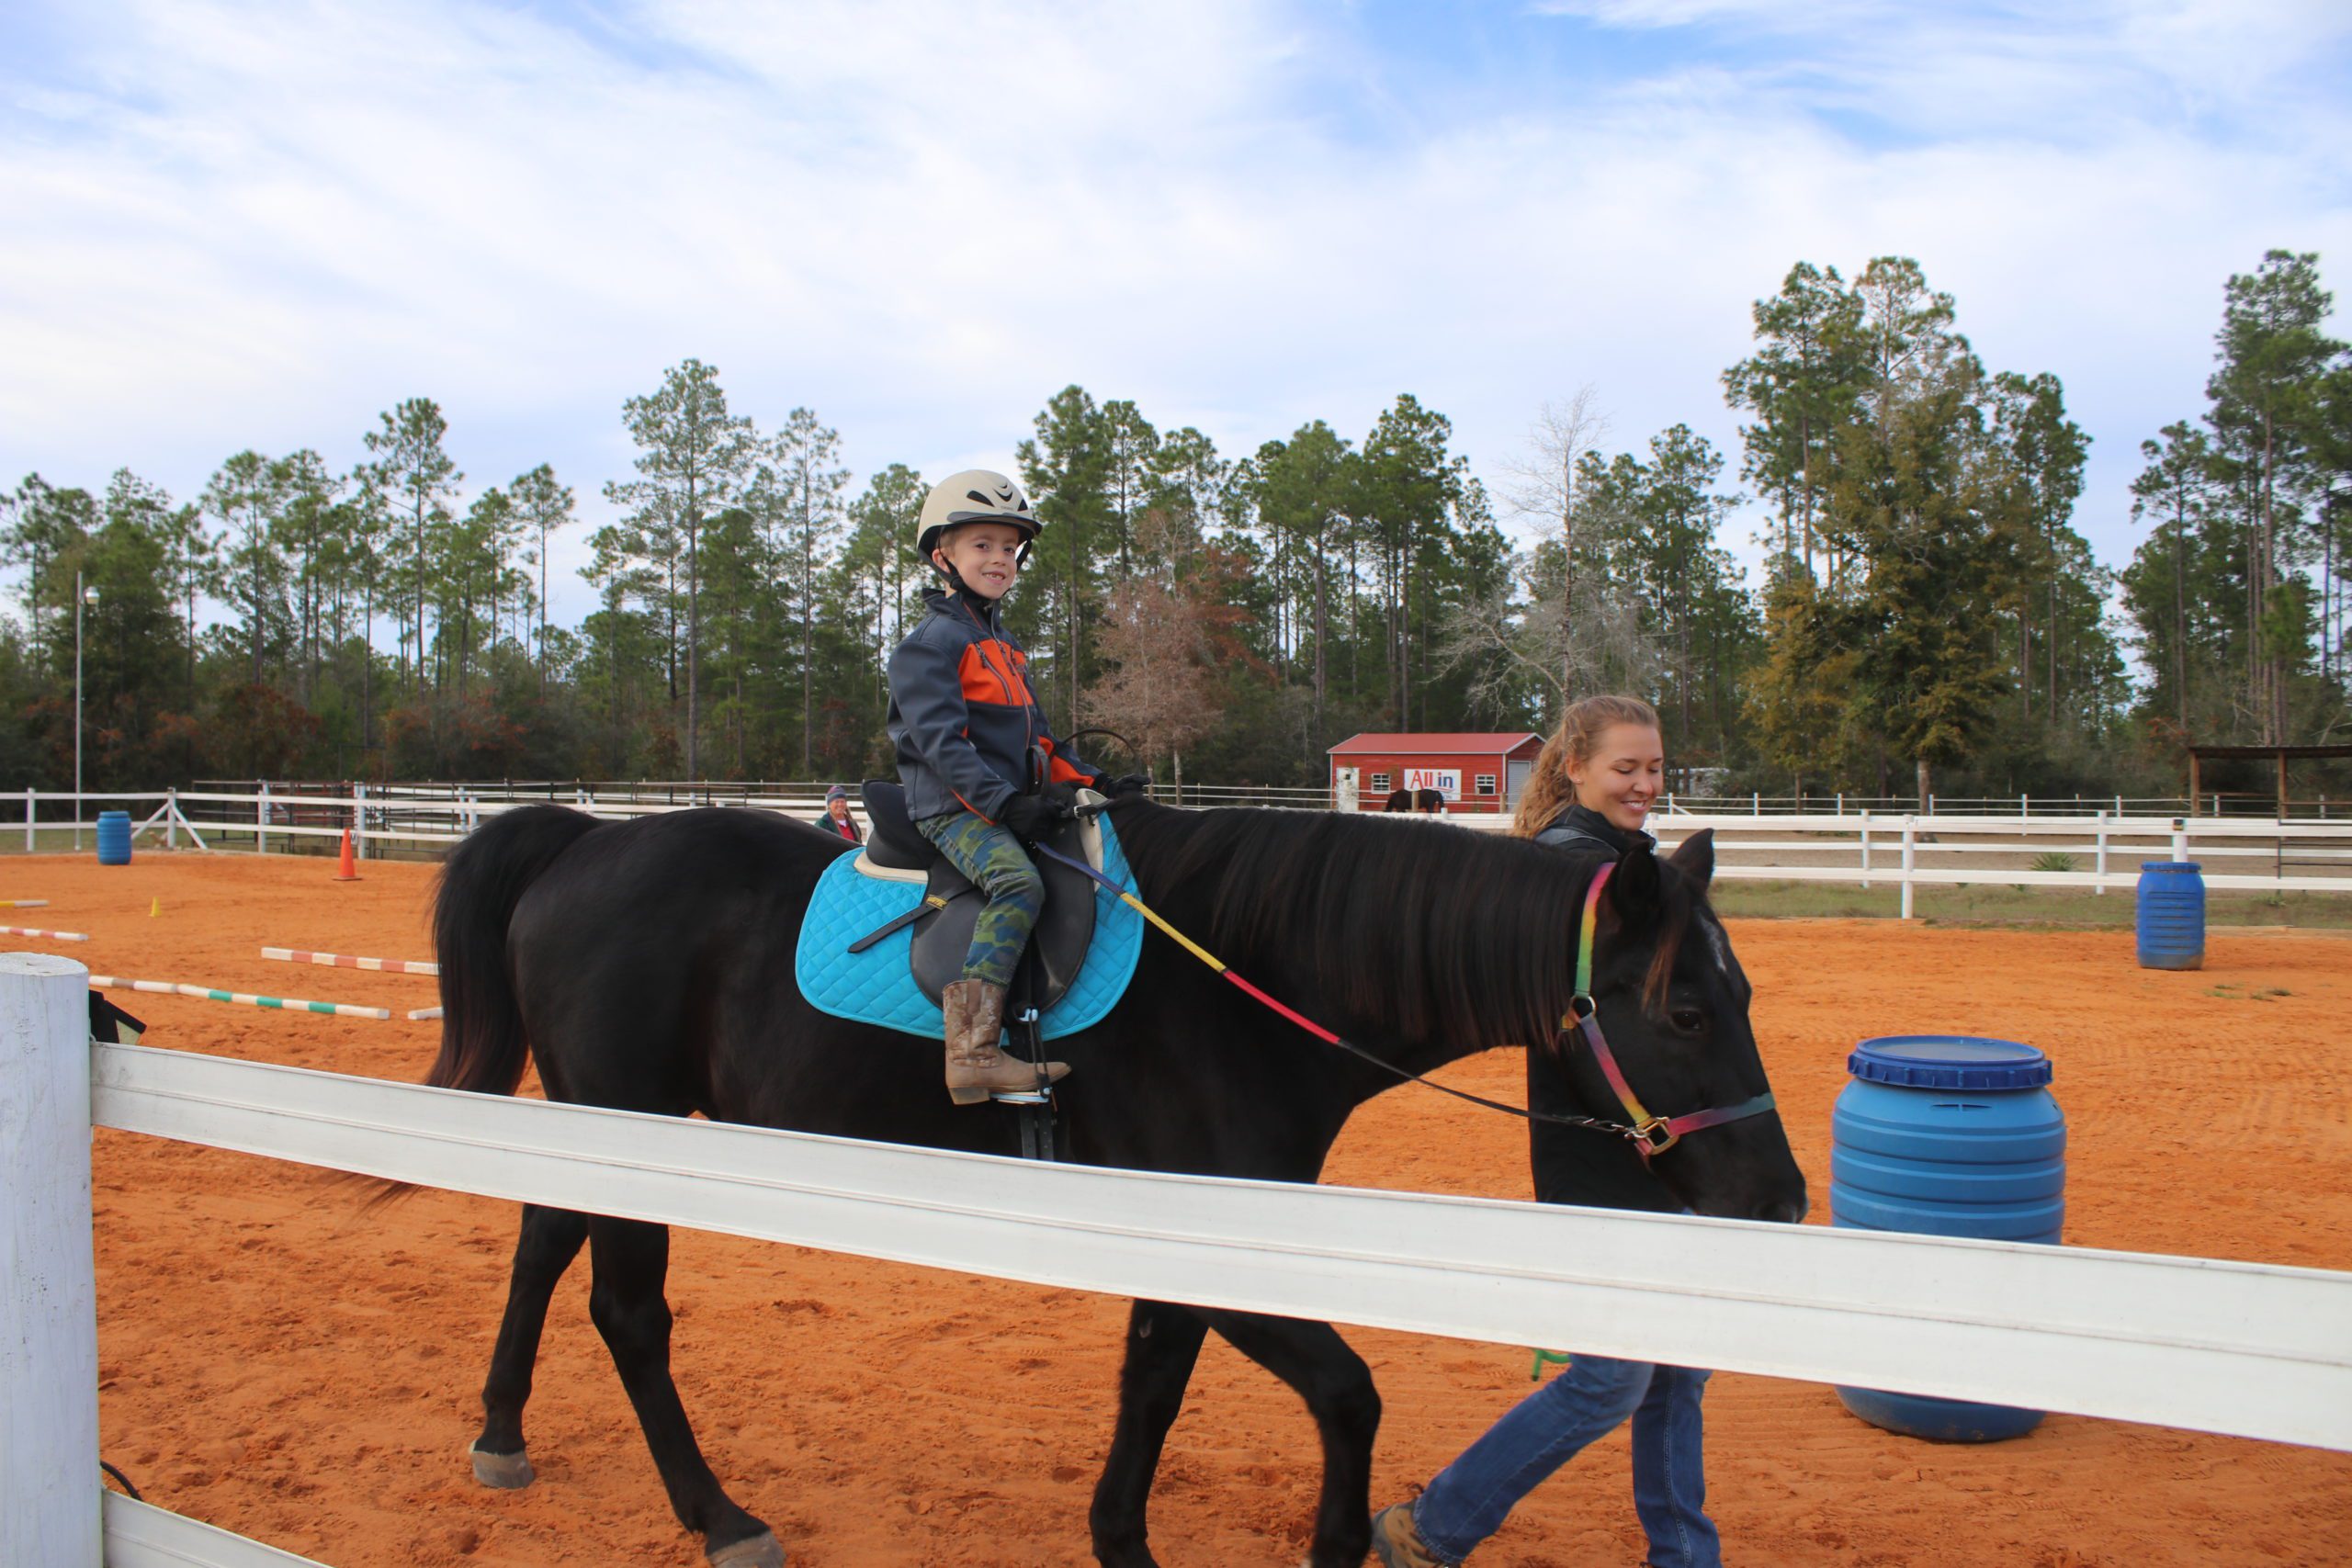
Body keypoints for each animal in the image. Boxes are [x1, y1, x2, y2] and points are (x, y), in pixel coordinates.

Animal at [423, 804, 1796, 1561]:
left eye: (1741, 994)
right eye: (1685, 1006)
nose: (1783, 1201)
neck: (1243, 984)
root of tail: (587, 843)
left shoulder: (1174, 1235)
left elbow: (1154, 1382)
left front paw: (1121, 1538)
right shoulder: (1216, 1241)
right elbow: (1346, 1391)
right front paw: (1331, 1544)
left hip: (603, 1120)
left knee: (541, 1241)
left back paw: (499, 1432)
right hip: (634, 1115)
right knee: (628, 1310)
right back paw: (718, 1515)